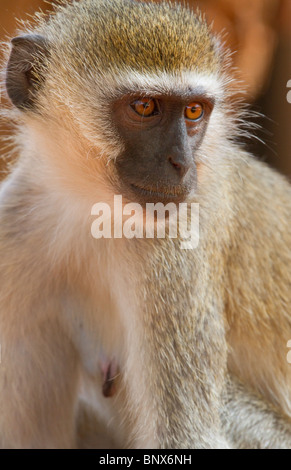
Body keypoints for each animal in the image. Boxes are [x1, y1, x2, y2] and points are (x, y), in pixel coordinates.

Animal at [0, 0, 291, 448]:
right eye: (144, 107)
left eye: (193, 111)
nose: (182, 163)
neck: (94, 210)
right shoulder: (13, 228)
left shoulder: (176, 253)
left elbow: (187, 435)